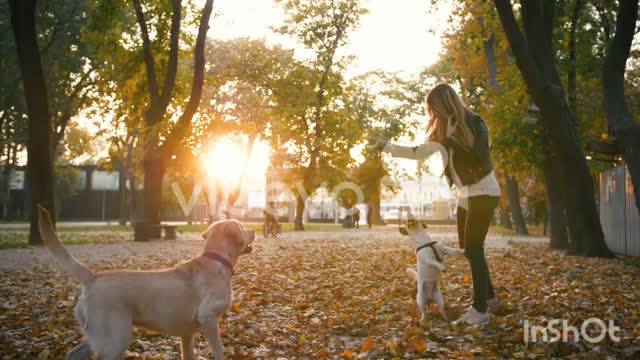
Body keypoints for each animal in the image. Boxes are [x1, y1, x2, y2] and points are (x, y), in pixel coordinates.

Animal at [37, 205, 255, 360]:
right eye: (242, 227)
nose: (254, 230)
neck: (216, 260)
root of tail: (92, 278)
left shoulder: (186, 334)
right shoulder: (208, 318)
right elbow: (219, 350)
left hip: (98, 335)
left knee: (73, 353)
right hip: (116, 338)